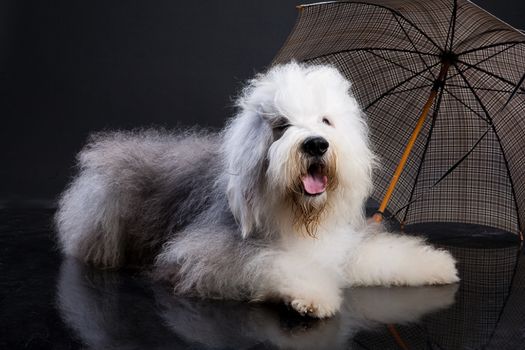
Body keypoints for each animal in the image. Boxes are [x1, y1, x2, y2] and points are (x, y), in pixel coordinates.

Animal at [55, 61, 458, 318]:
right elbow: (272, 263)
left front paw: (438, 264)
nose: (315, 144)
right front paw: (312, 297)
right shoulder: (208, 253)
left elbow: (377, 254)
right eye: (281, 125)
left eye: (326, 121)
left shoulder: (338, 246)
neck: (298, 216)